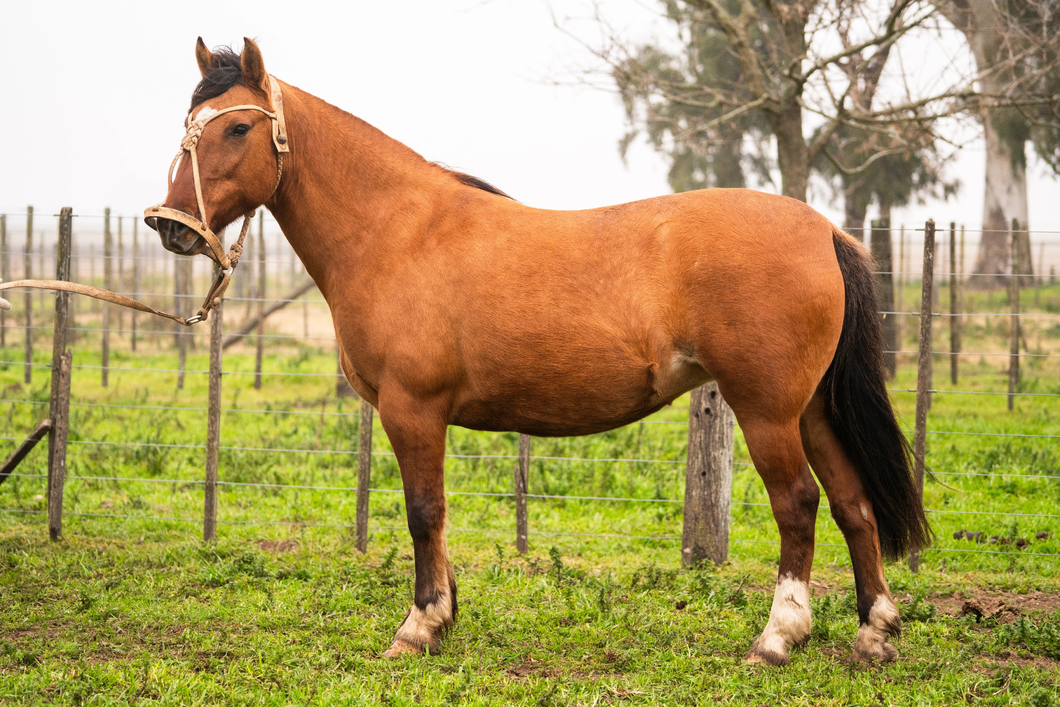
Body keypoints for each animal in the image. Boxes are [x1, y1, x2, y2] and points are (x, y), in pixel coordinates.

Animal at [147, 37, 929, 666]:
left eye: (238, 126)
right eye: (184, 129)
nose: (171, 225)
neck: (397, 230)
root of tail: (825, 229)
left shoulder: (411, 409)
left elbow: (423, 510)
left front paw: (418, 626)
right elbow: (436, 516)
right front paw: (444, 615)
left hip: (768, 411)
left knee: (798, 504)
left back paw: (777, 637)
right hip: (812, 409)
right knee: (852, 503)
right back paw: (873, 631)